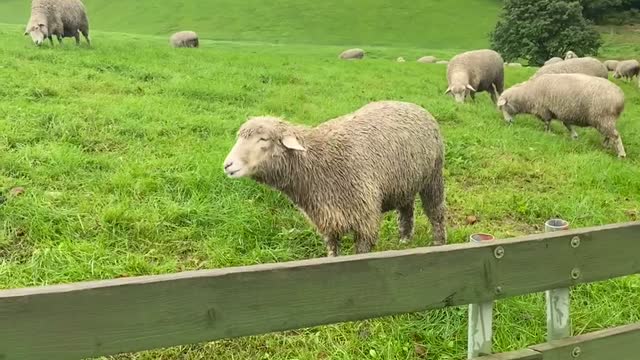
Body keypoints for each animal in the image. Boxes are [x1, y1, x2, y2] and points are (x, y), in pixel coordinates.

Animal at [222, 100, 448, 256]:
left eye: (263, 139)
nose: (227, 165)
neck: (319, 162)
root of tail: (414, 105)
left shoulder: (365, 221)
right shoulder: (327, 219)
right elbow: (332, 251)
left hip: (433, 176)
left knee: (436, 212)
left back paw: (439, 243)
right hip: (404, 182)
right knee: (407, 209)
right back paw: (405, 240)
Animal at [498, 73, 628, 158]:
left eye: (503, 107)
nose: (508, 122)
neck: (526, 95)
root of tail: (621, 98)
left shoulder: (544, 110)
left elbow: (547, 123)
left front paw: (548, 134)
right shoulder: (563, 112)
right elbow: (567, 125)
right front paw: (574, 136)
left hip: (603, 117)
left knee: (615, 135)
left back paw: (621, 154)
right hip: (605, 120)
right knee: (610, 134)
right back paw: (606, 145)